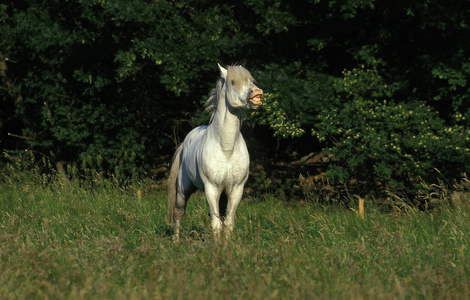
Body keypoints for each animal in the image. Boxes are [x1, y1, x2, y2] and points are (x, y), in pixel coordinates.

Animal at [168, 64, 264, 240]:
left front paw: (225, 246)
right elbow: (216, 225)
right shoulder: (211, 189)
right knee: (179, 213)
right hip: (183, 190)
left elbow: (228, 224)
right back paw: (176, 241)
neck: (226, 148)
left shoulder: (236, 190)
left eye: (252, 80)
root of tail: (186, 141)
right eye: (233, 81)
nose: (257, 92)